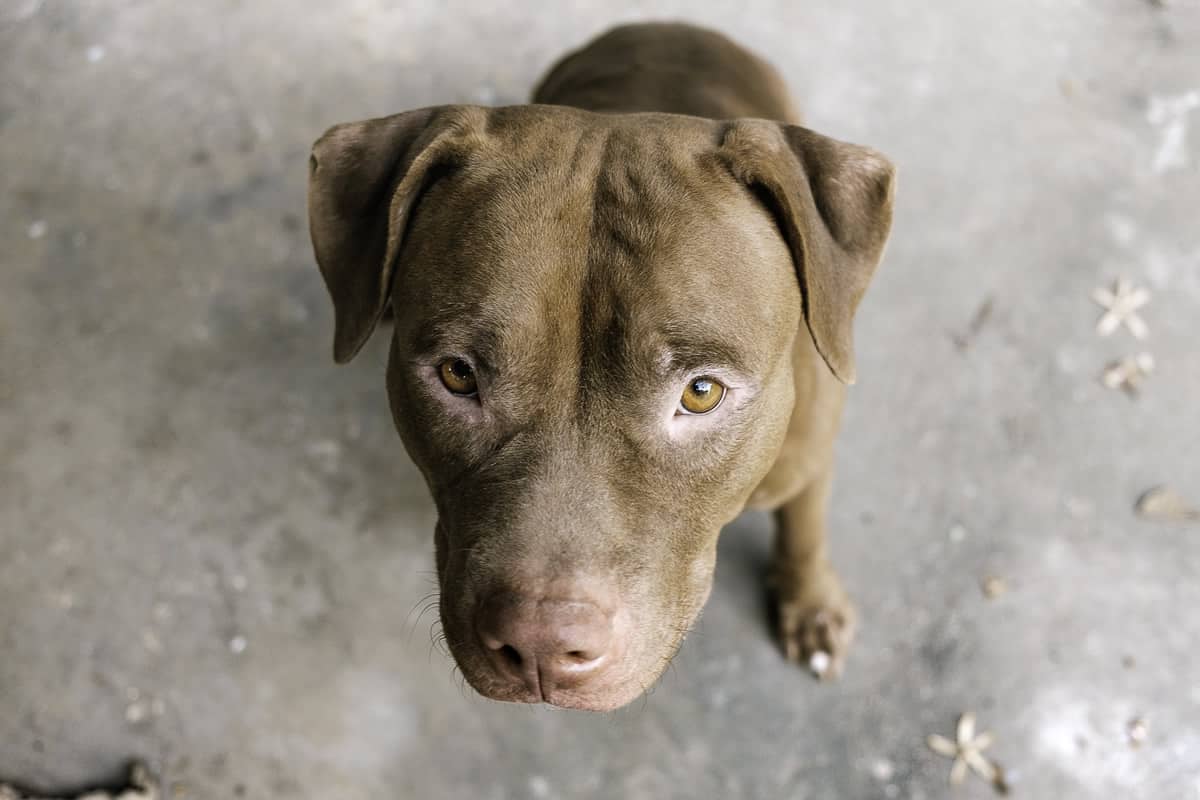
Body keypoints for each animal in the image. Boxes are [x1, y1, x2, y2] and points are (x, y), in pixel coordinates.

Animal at [304, 21, 897, 714]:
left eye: (701, 392)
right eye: (458, 374)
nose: (541, 646)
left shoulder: (810, 457)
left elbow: (805, 526)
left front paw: (811, 604)